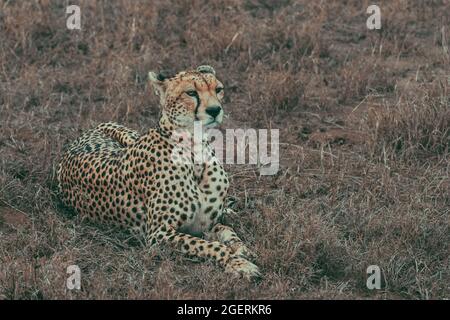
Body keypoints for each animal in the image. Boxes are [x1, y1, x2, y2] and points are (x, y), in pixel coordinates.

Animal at [57, 65, 260, 280]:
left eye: (218, 89)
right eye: (191, 93)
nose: (215, 110)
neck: (196, 149)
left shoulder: (206, 224)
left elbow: (228, 231)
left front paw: (242, 249)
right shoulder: (159, 234)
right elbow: (210, 246)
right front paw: (238, 263)